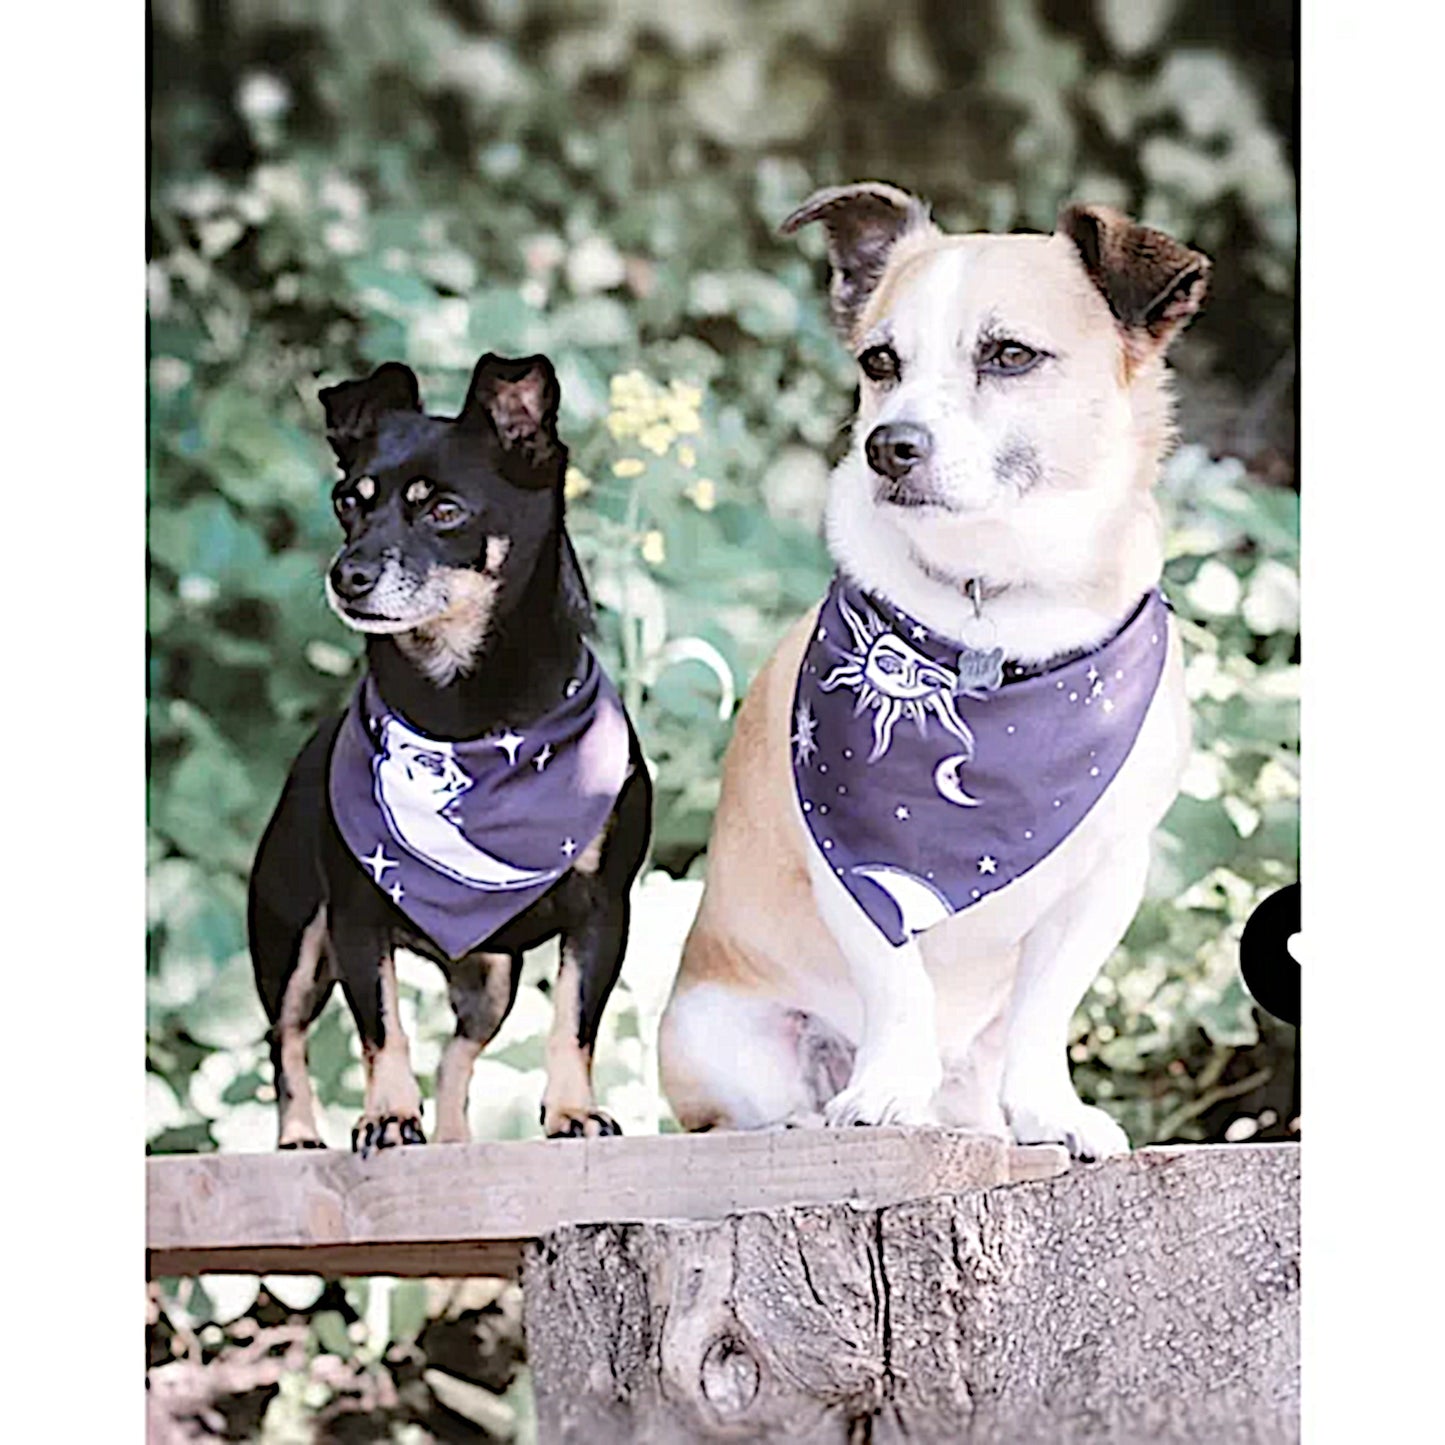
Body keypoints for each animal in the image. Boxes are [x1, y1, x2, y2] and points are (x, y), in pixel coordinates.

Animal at [247, 349, 650, 1150]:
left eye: (443, 511)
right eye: (347, 503)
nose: (348, 573)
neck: (465, 715)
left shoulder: (601, 911)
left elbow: (572, 1022)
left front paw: (573, 1111)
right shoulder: (357, 918)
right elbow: (382, 1028)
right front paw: (387, 1116)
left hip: (489, 979)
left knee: (457, 1055)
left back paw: (457, 1138)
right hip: (291, 940)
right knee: (286, 1039)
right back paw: (300, 1134)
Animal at [658, 183, 1208, 1161]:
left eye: (1009, 355)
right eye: (879, 362)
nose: (888, 444)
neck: (991, 611)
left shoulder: (1106, 878)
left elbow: (1044, 1012)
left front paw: (1049, 1109)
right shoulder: (853, 863)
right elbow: (897, 984)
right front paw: (885, 1088)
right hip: (717, 1031)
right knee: (740, 1111)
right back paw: (810, 1111)